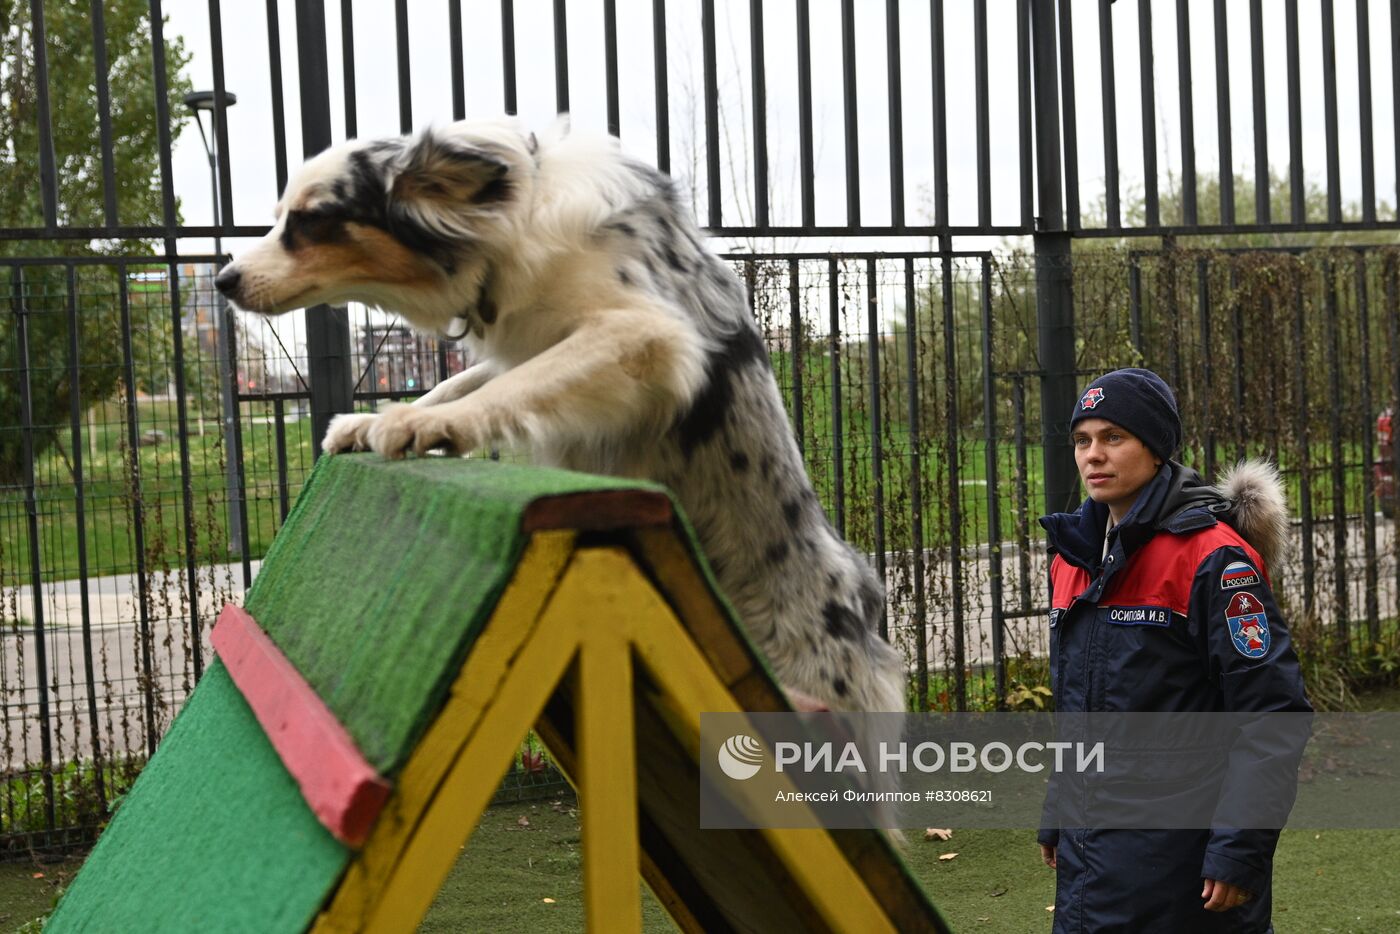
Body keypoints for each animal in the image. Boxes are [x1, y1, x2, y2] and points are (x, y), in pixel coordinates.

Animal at [212, 116, 901, 716]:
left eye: (311, 220)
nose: (223, 280)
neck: (513, 216)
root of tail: (863, 599)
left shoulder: (643, 333)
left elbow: (517, 386)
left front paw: (412, 426)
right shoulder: (529, 338)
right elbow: (463, 379)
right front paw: (371, 419)